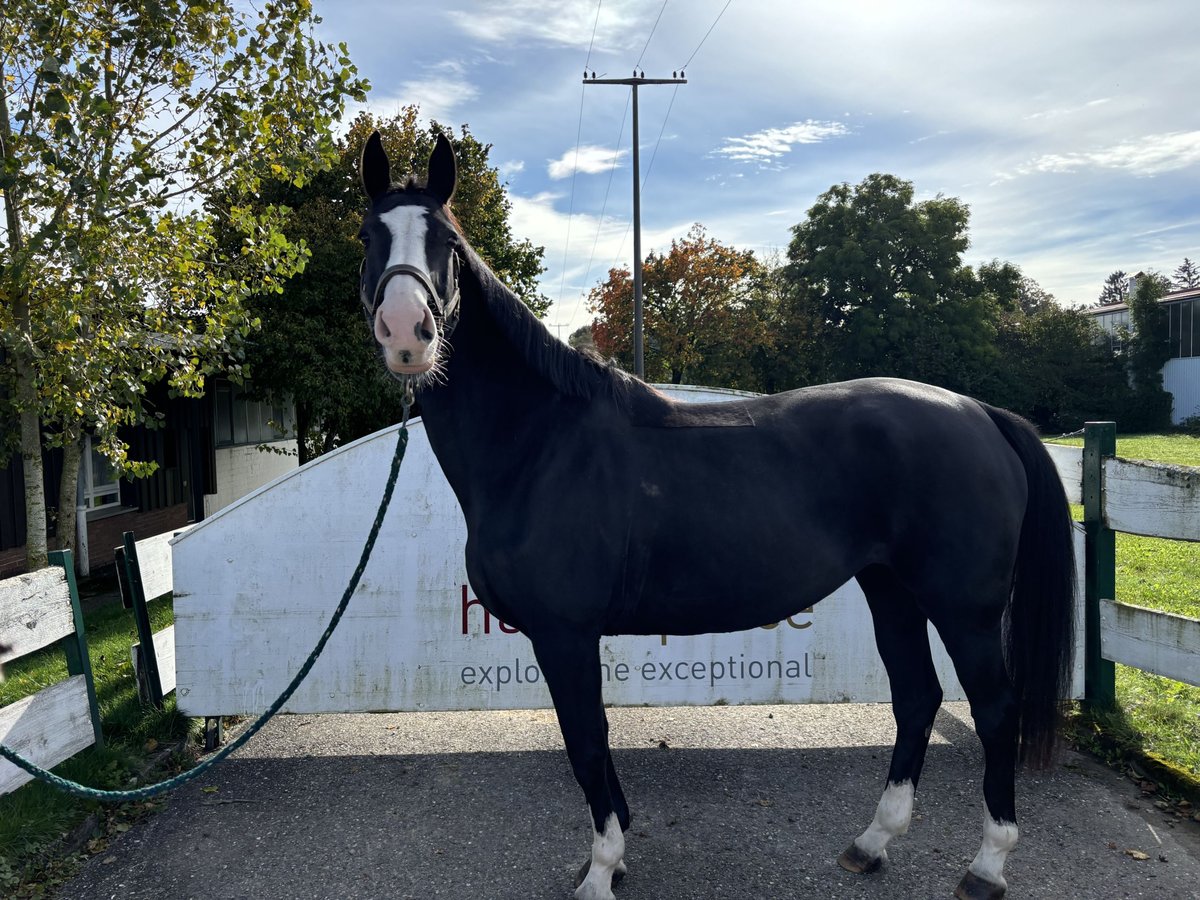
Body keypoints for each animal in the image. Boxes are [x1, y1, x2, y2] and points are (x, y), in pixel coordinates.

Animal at [355, 132, 1080, 900]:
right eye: (369, 235)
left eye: (446, 242)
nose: (407, 332)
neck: (540, 442)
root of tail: (979, 412)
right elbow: (597, 745)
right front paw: (614, 856)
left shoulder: (564, 633)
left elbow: (587, 743)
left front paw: (601, 869)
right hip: (891, 590)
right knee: (917, 698)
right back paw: (873, 842)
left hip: (963, 607)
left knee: (994, 710)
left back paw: (987, 864)